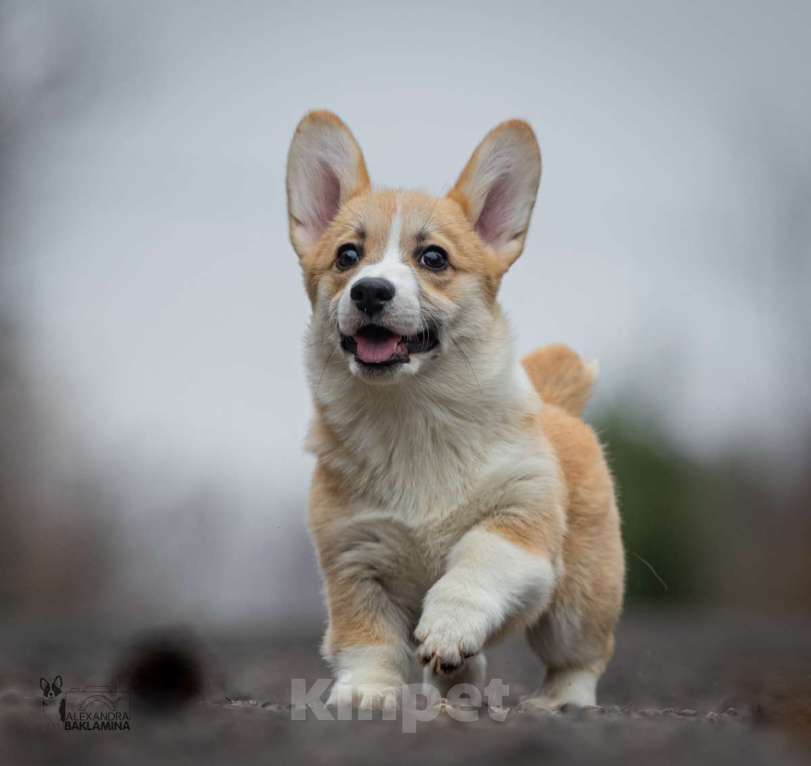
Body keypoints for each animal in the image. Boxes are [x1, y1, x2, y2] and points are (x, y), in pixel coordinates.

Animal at [288, 111, 624, 712]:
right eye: (348, 256)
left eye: (433, 258)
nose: (370, 291)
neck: (411, 415)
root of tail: (557, 404)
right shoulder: (353, 558)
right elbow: (366, 638)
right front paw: (366, 694)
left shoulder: (519, 523)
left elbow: (474, 565)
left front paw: (448, 624)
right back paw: (459, 689)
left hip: (579, 603)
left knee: (579, 656)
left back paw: (560, 701)